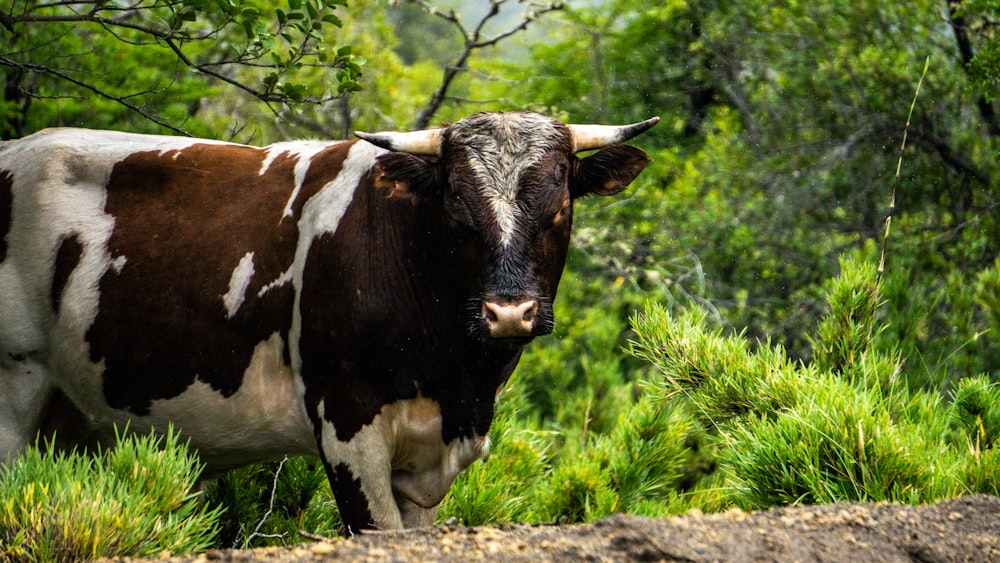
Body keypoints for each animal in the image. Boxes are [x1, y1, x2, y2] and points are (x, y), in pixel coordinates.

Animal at [0, 111, 660, 532]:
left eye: (560, 206)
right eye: (455, 205)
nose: (508, 312)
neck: (455, 380)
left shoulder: (428, 458)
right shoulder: (348, 428)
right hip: (15, 385)